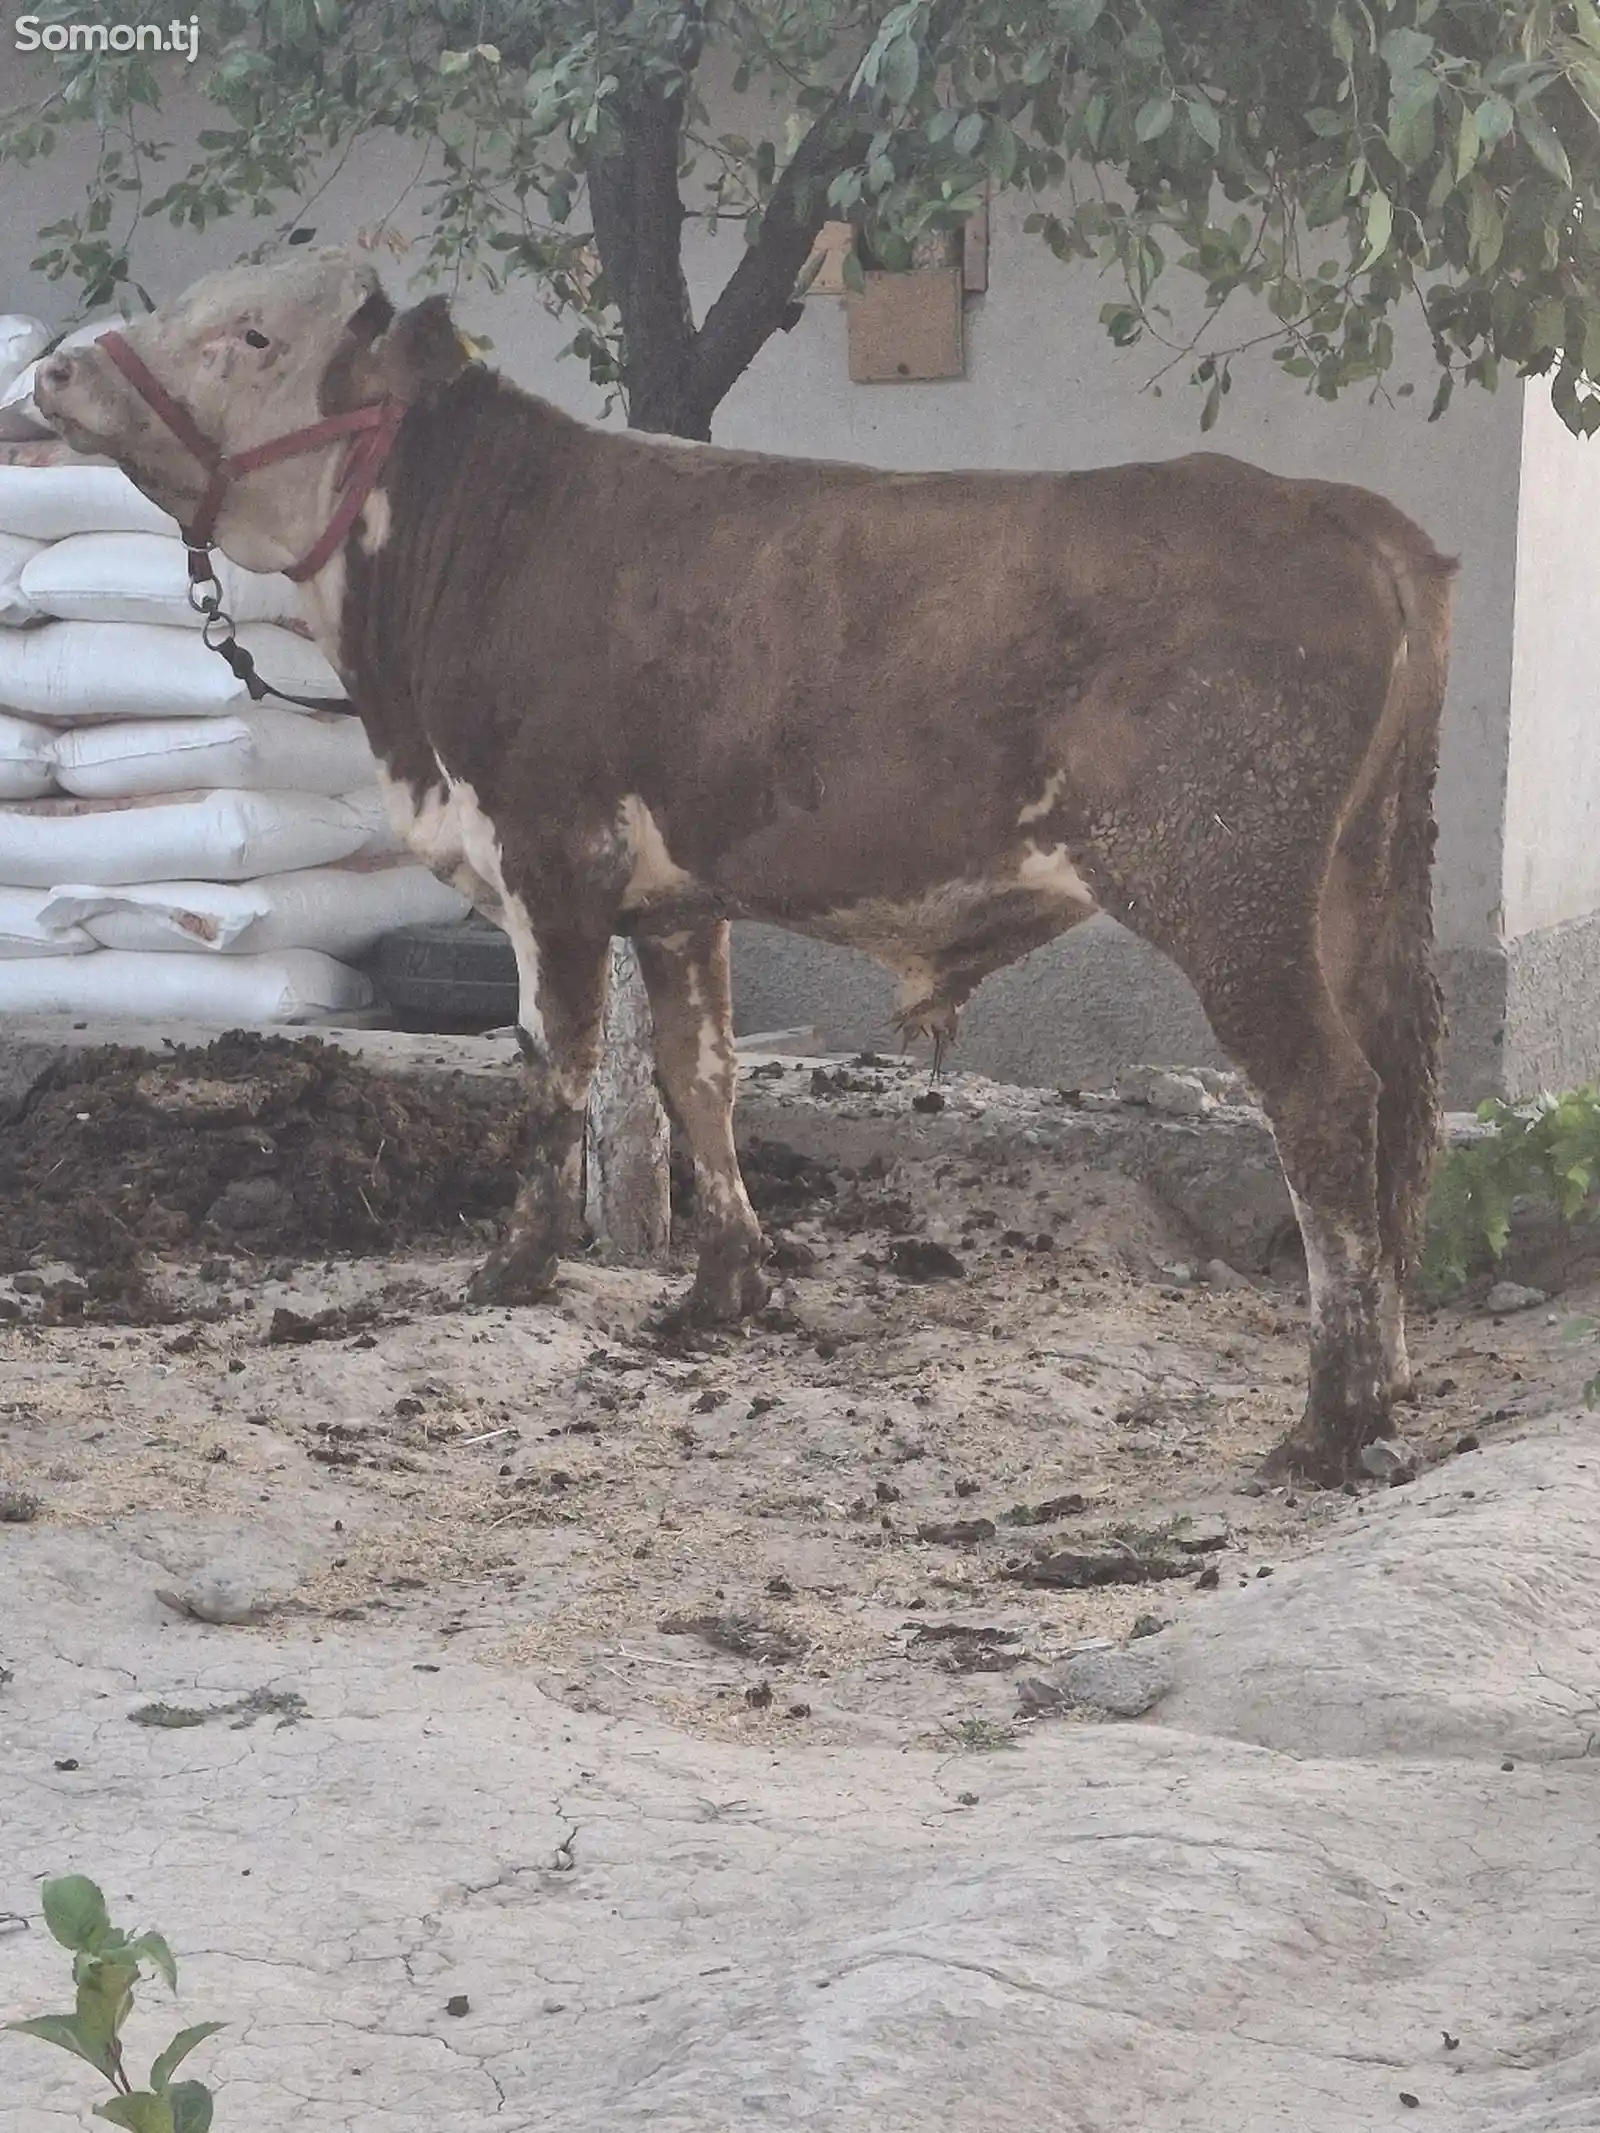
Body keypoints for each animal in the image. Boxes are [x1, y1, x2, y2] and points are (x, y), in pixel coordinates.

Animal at [31, 249, 1459, 1476]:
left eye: (253, 334)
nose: (54, 370)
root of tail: (1337, 512)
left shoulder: (549, 858)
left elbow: (554, 1072)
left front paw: (513, 1270)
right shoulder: (676, 902)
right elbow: (695, 1078)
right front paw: (724, 1288)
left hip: (1229, 891)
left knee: (1325, 1105)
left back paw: (1328, 1422)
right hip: (1354, 891)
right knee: (1394, 1099)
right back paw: (1387, 1384)